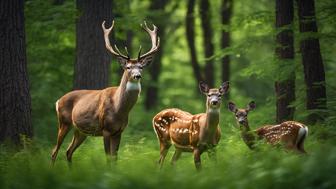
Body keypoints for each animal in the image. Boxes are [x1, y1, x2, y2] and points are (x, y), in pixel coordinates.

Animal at [50, 19, 159, 164]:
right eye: (128, 67)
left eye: (141, 67)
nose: (137, 75)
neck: (118, 109)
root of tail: (57, 101)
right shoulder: (105, 129)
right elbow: (108, 158)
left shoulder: (119, 131)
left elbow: (115, 158)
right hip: (64, 122)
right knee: (54, 151)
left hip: (80, 131)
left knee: (68, 151)